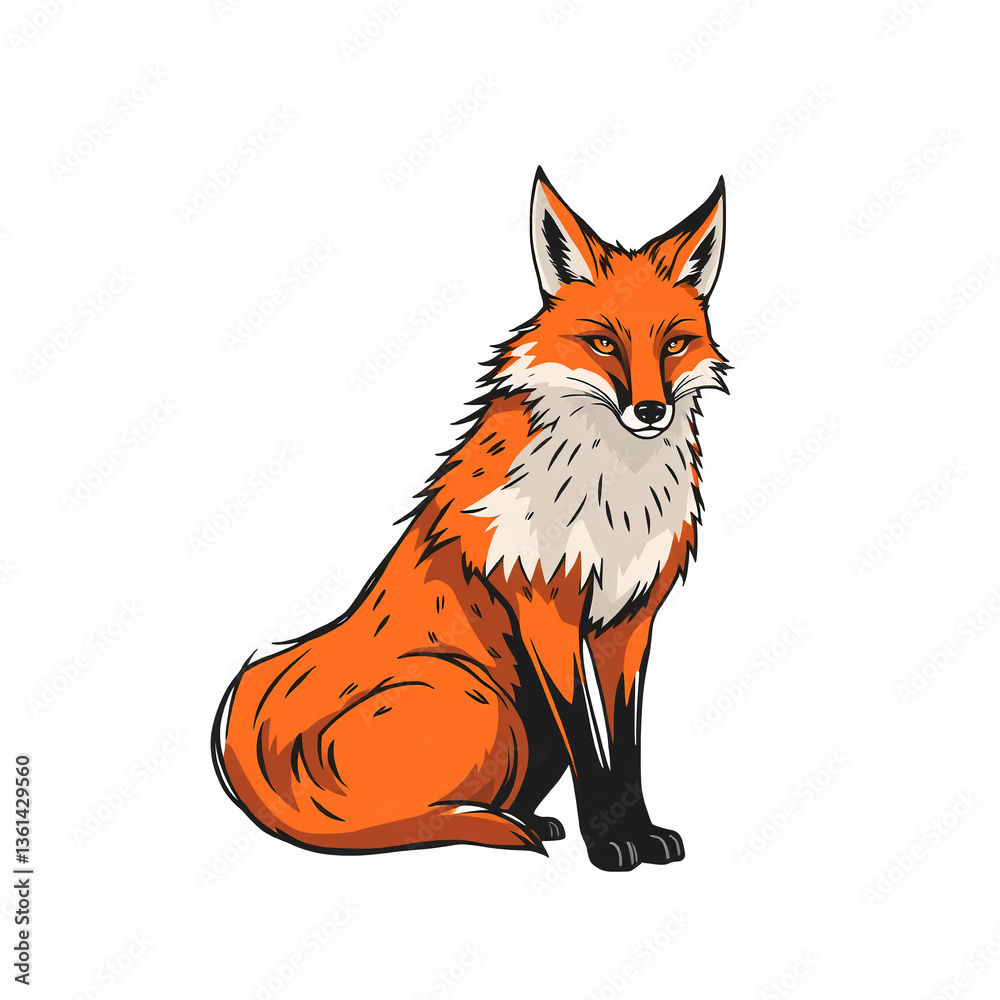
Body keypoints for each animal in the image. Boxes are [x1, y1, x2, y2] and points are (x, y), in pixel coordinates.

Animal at [212, 168, 730, 871]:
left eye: (674, 344)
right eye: (602, 342)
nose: (649, 411)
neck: (612, 501)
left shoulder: (630, 620)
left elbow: (626, 745)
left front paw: (640, 831)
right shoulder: (547, 610)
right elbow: (589, 744)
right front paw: (609, 841)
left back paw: (528, 819)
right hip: (482, 698)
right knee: (413, 825)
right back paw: (500, 826)